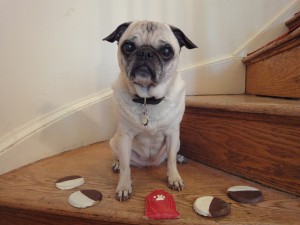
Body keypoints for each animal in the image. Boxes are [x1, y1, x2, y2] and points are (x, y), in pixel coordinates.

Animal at [103, 21, 197, 200]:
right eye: (128, 47)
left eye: (166, 51)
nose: (145, 53)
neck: (148, 100)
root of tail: (149, 163)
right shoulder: (125, 137)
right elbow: (126, 168)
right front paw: (124, 186)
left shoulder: (172, 133)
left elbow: (171, 161)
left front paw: (174, 178)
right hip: (115, 142)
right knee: (121, 160)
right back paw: (116, 164)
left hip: (177, 142)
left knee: (169, 157)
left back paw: (179, 157)